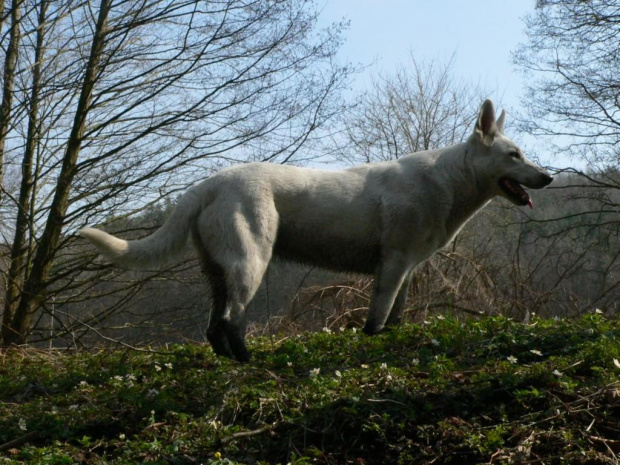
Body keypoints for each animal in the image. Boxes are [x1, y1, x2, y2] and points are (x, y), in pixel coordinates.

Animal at [81, 99, 552, 360]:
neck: (450, 180)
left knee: (213, 326)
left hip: (218, 272)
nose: (547, 177)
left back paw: (227, 361)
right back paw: (249, 362)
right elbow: (375, 322)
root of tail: (209, 183)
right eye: (514, 154)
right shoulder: (391, 266)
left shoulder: (407, 269)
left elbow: (396, 319)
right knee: (232, 321)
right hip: (251, 263)